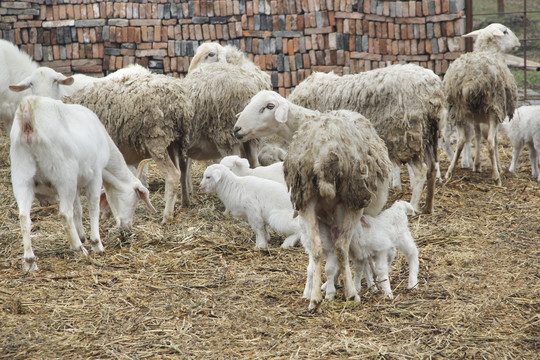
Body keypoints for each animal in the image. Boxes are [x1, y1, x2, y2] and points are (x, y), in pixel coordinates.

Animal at [10, 96, 155, 272]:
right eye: (136, 199)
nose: (127, 228)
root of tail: (28, 111)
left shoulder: (77, 185)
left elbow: (78, 209)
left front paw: (82, 236)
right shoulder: (96, 175)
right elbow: (93, 207)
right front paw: (95, 243)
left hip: (21, 177)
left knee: (24, 216)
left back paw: (30, 260)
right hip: (65, 177)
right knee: (64, 213)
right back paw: (78, 248)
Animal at [286, 63, 442, 214]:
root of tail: (432, 88)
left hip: (409, 139)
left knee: (421, 171)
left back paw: (414, 206)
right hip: (428, 136)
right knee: (432, 168)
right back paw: (428, 206)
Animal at [442, 22, 520, 186]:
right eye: (505, 31)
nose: (517, 43)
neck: (488, 50)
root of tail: (470, 81)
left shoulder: (476, 116)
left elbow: (477, 135)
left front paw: (477, 165)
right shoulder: (497, 113)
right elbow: (495, 140)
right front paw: (497, 166)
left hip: (457, 110)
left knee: (461, 140)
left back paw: (450, 172)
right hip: (493, 108)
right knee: (490, 141)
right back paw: (496, 177)